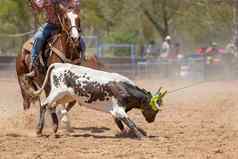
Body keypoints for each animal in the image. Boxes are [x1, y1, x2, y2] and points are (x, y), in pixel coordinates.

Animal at [34, 62, 166, 139]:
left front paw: (127, 133)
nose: (151, 120)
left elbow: (121, 123)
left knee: (52, 106)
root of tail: (58, 65)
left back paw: (55, 127)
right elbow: (130, 123)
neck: (123, 87)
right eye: (154, 109)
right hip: (57, 92)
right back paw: (39, 130)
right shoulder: (118, 109)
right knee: (44, 104)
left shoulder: (116, 111)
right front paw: (141, 136)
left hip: (66, 96)